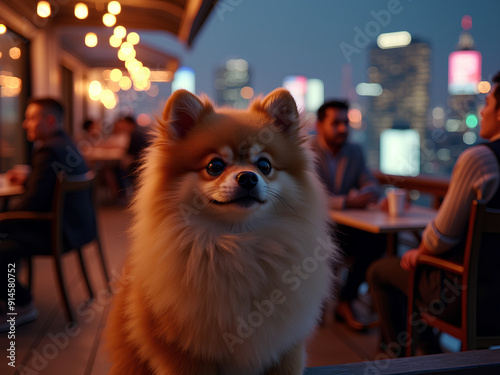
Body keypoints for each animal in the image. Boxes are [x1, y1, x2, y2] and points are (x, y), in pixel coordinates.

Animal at [107, 89, 338, 375]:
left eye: (264, 165)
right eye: (214, 166)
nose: (248, 177)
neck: (237, 244)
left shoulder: (286, 346)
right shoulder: (183, 354)